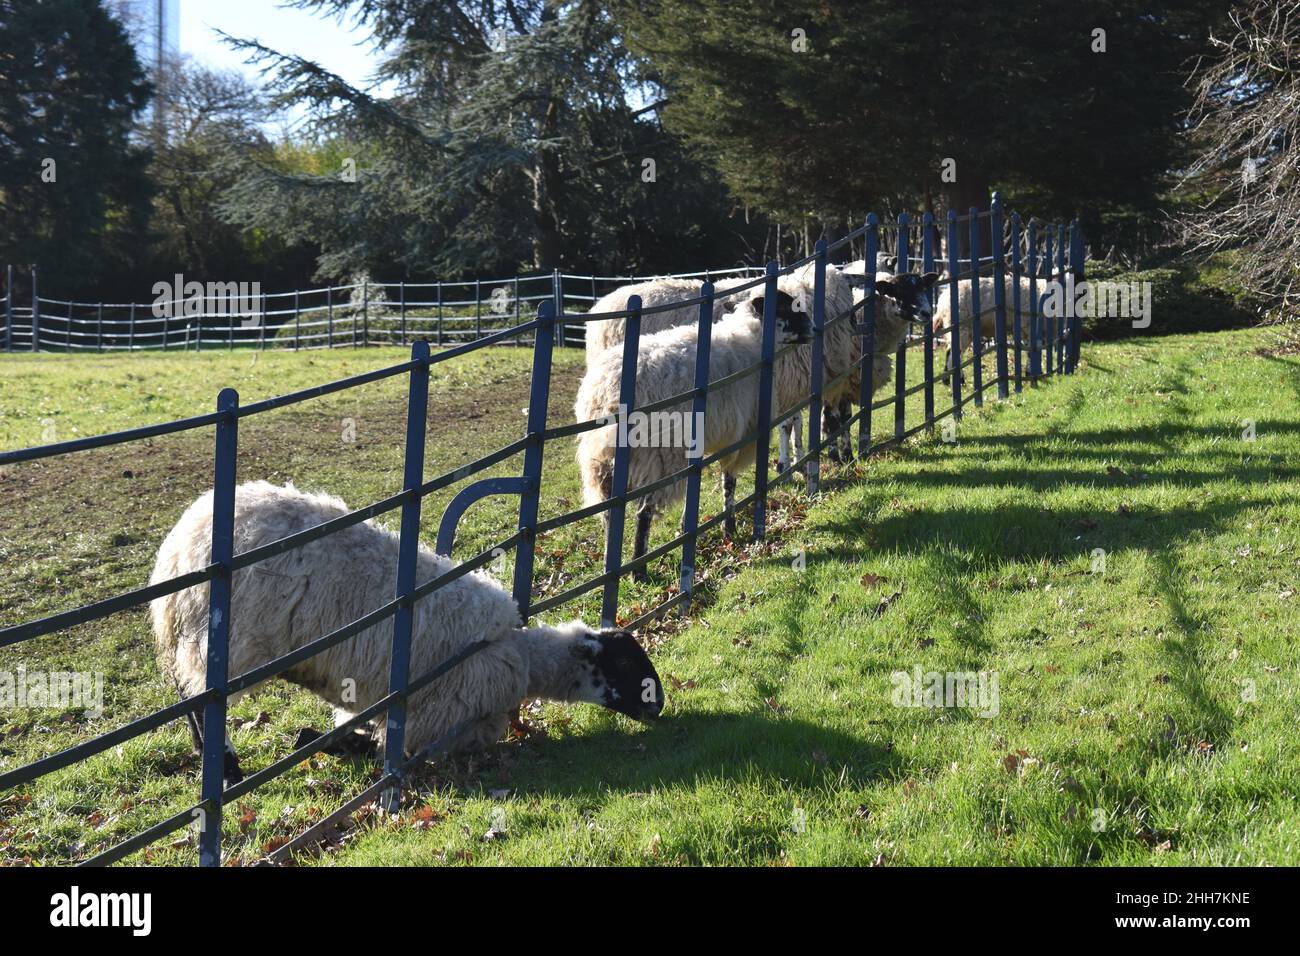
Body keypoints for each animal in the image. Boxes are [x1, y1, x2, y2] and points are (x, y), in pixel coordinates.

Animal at [147, 481, 665, 780]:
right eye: (625, 662)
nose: (658, 706)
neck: (521, 658)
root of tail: (182, 544)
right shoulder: (434, 720)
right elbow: (383, 747)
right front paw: (333, 745)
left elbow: (352, 731)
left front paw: (323, 740)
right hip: (230, 642)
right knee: (202, 701)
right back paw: (228, 768)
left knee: (186, 694)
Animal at [574, 287, 806, 580]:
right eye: (787, 308)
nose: (812, 327)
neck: (754, 339)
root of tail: (607, 394)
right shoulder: (737, 435)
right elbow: (728, 482)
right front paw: (728, 528)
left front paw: (689, 525)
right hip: (660, 454)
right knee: (644, 512)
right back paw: (638, 571)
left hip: (602, 461)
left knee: (609, 513)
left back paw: (610, 565)